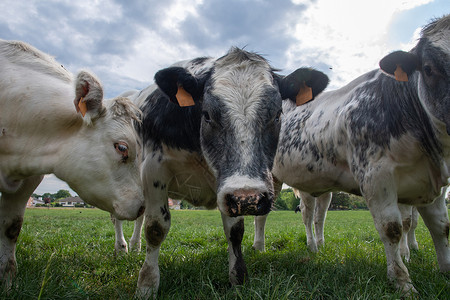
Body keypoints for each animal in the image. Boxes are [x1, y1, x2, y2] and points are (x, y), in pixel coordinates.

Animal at [119, 48, 328, 296]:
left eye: (277, 114)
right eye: (207, 114)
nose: (250, 198)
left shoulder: (233, 193)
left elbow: (235, 232)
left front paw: (238, 278)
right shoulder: (154, 170)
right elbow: (155, 228)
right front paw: (147, 284)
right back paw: (126, 247)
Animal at [260, 15, 450, 294]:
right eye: (428, 68)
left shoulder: (432, 182)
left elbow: (441, 227)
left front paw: (445, 271)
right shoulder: (375, 176)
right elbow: (392, 228)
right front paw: (402, 281)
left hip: (320, 185)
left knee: (318, 215)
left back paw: (318, 246)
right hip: (273, 177)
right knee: (282, 214)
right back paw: (262, 247)